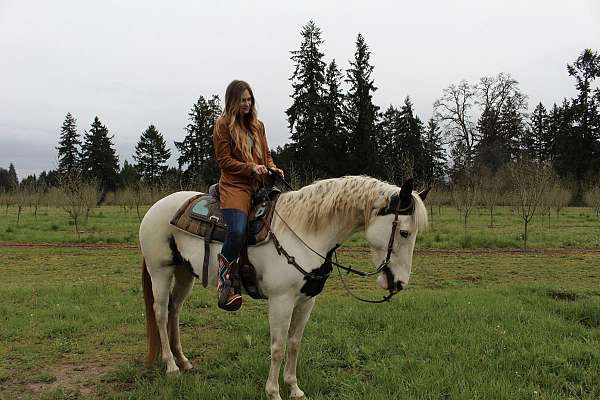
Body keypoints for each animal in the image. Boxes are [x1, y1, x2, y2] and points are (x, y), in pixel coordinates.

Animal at [138, 176, 428, 400]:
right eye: (404, 232)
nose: (400, 283)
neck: (305, 233)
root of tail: (155, 208)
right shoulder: (281, 301)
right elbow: (277, 347)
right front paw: (273, 392)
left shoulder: (306, 301)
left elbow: (294, 343)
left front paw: (294, 388)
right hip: (160, 271)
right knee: (161, 313)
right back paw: (171, 366)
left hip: (184, 272)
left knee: (175, 311)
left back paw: (183, 361)